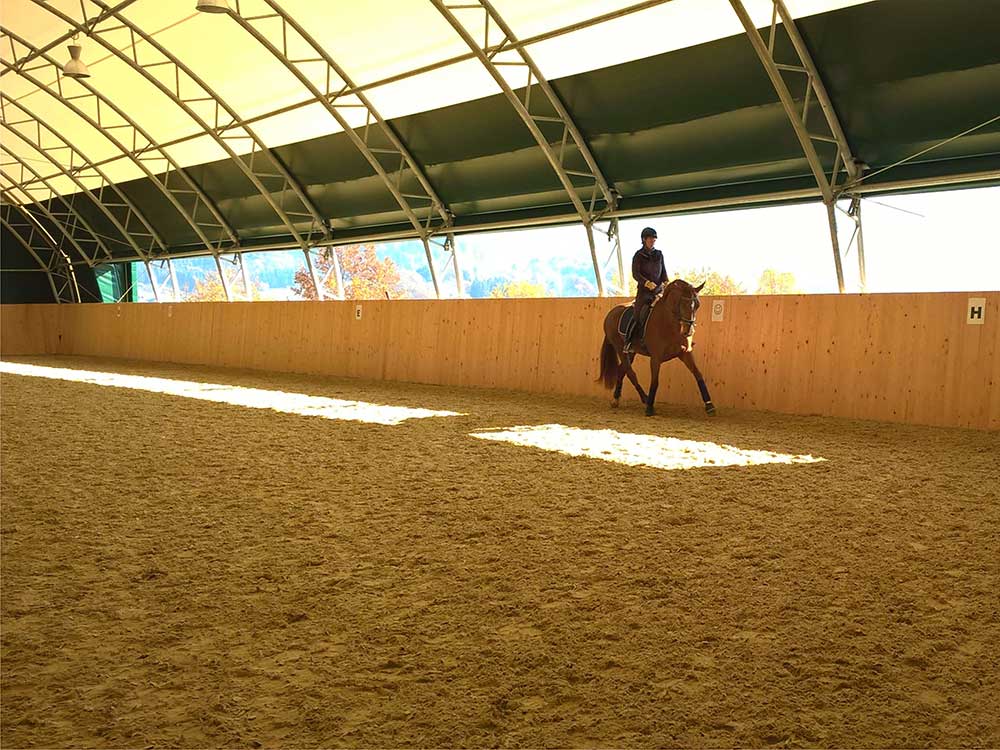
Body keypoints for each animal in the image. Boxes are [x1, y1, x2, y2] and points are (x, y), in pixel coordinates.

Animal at [596, 280, 716, 418]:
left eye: (697, 305)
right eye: (683, 303)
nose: (688, 331)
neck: (669, 325)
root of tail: (611, 314)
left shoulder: (685, 354)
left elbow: (698, 375)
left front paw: (709, 405)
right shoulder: (655, 358)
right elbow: (655, 381)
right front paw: (649, 408)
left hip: (631, 352)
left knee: (622, 370)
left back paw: (616, 399)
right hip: (620, 349)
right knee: (631, 373)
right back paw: (645, 399)